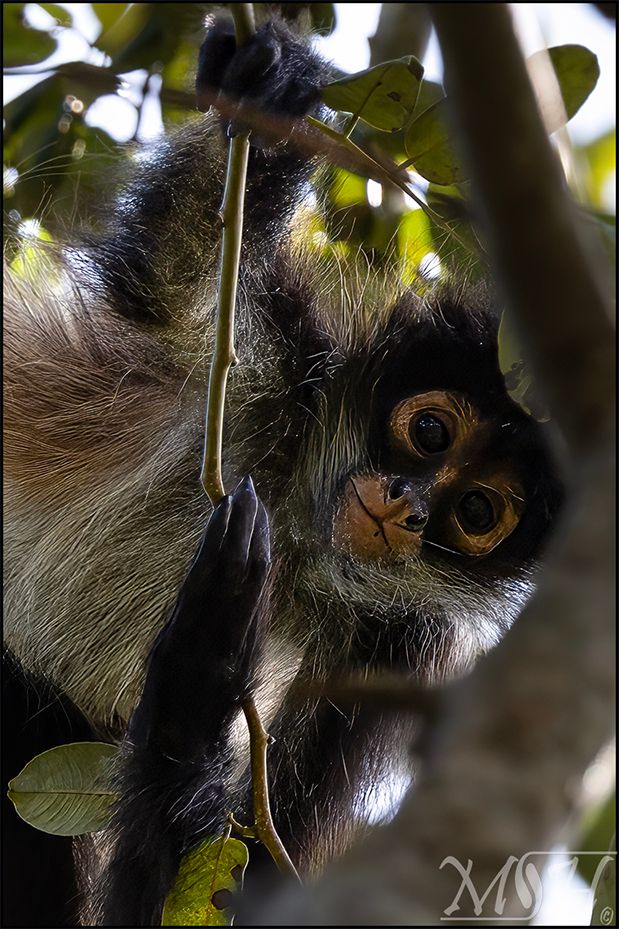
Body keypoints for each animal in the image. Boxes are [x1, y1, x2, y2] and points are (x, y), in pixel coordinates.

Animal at [3, 12, 563, 927]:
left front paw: (197, 677)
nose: (405, 506)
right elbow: (163, 283)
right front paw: (266, 92)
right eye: (430, 430)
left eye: (477, 513)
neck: (303, 536)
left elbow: (254, 876)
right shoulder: (279, 372)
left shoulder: (399, 647)